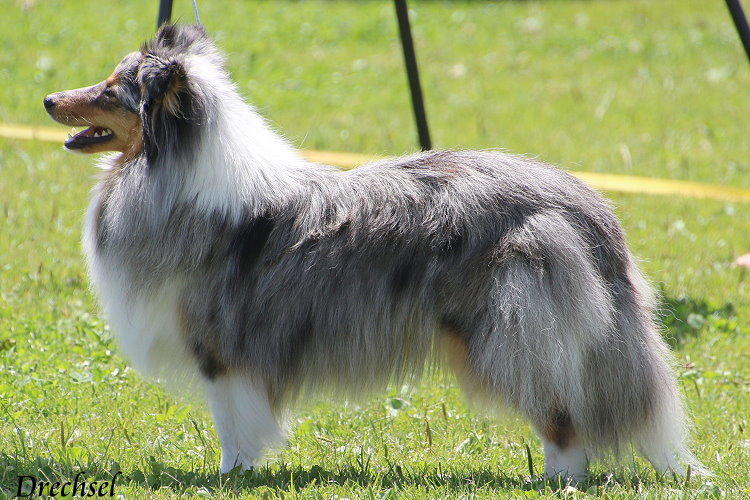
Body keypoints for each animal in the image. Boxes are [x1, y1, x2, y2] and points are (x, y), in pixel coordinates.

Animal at [44, 23, 708, 480]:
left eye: (112, 91)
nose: (49, 100)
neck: (177, 172)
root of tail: (589, 208)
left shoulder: (222, 349)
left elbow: (233, 424)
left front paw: (231, 477)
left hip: (512, 334)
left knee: (563, 419)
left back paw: (557, 481)